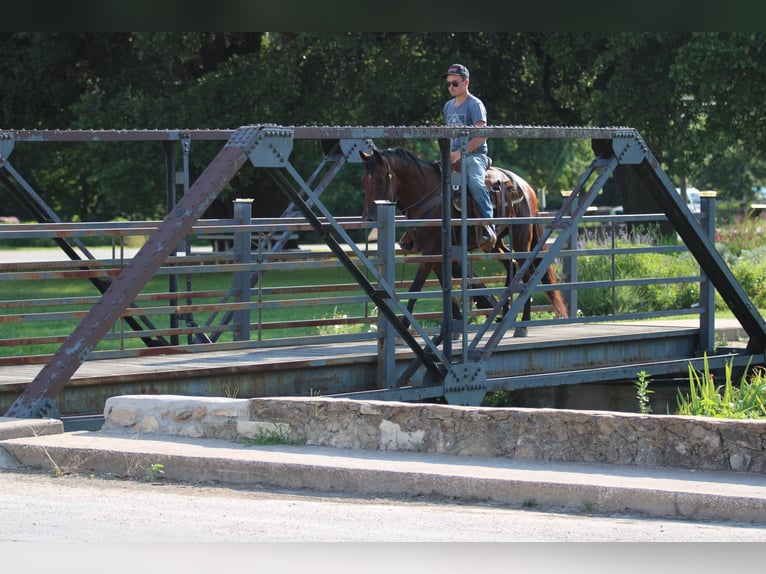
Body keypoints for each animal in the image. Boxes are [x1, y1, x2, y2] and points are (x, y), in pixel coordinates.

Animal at [356, 146, 568, 340]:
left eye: (380, 180)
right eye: (364, 181)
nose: (368, 219)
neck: (429, 194)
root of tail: (526, 186)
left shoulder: (431, 251)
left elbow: (416, 287)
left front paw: (405, 328)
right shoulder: (436, 253)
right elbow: (445, 286)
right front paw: (453, 329)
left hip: (521, 238)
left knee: (527, 274)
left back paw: (523, 325)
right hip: (496, 244)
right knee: (512, 265)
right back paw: (506, 314)